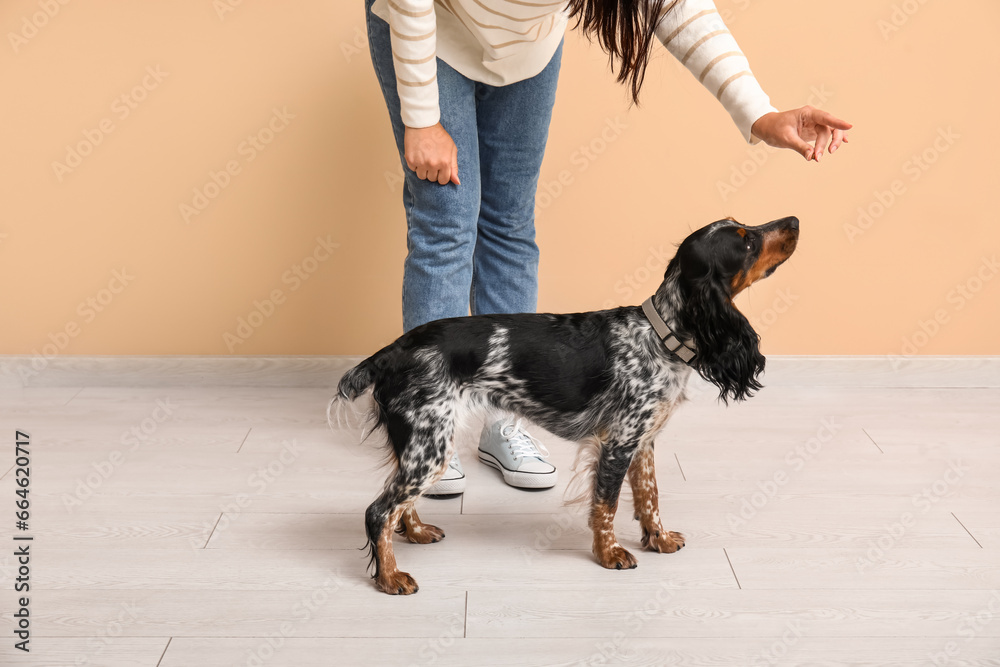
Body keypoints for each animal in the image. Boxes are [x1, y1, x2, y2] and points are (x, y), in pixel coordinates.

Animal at [332, 215, 800, 596]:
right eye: (746, 241)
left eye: (745, 227)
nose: (794, 220)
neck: (660, 335)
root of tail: (392, 351)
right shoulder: (618, 442)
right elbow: (607, 506)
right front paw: (609, 554)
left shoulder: (643, 442)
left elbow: (649, 496)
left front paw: (659, 540)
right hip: (429, 445)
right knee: (379, 511)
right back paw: (390, 577)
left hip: (420, 445)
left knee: (399, 505)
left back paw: (415, 532)